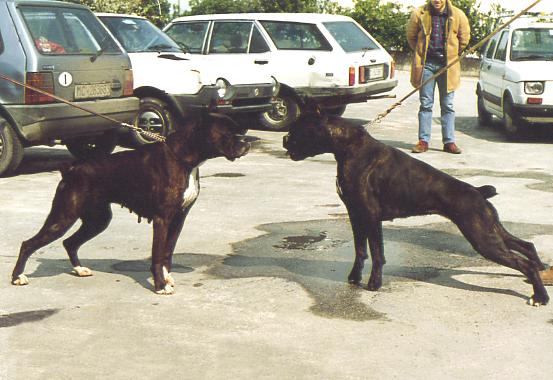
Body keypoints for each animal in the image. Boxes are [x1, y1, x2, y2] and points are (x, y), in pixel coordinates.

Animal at [11, 113, 249, 294]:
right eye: (229, 133)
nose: (246, 143)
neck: (183, 158)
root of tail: (70, 168)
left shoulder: (178, 220)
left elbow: (167, 253)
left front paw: (167, 278)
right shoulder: (162, 219)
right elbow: (157, 255)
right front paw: (160, 286)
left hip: (97, 220)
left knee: (70, 242)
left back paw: (79, 270)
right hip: (63, 216)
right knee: (28, 244)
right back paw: (17, 277)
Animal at [282, 101, 548, 306]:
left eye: (299, 129)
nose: (285, 138)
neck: (348, 147)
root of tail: (478, 192)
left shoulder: (370, 216)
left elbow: (377, 253)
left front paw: (374, 284)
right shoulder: (355, 215)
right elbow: (360, 250)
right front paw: (354, 278)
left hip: (482, 238)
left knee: (522, 262)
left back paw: (540, 296)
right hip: (491, 230)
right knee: (526, 246)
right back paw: (541, 272)